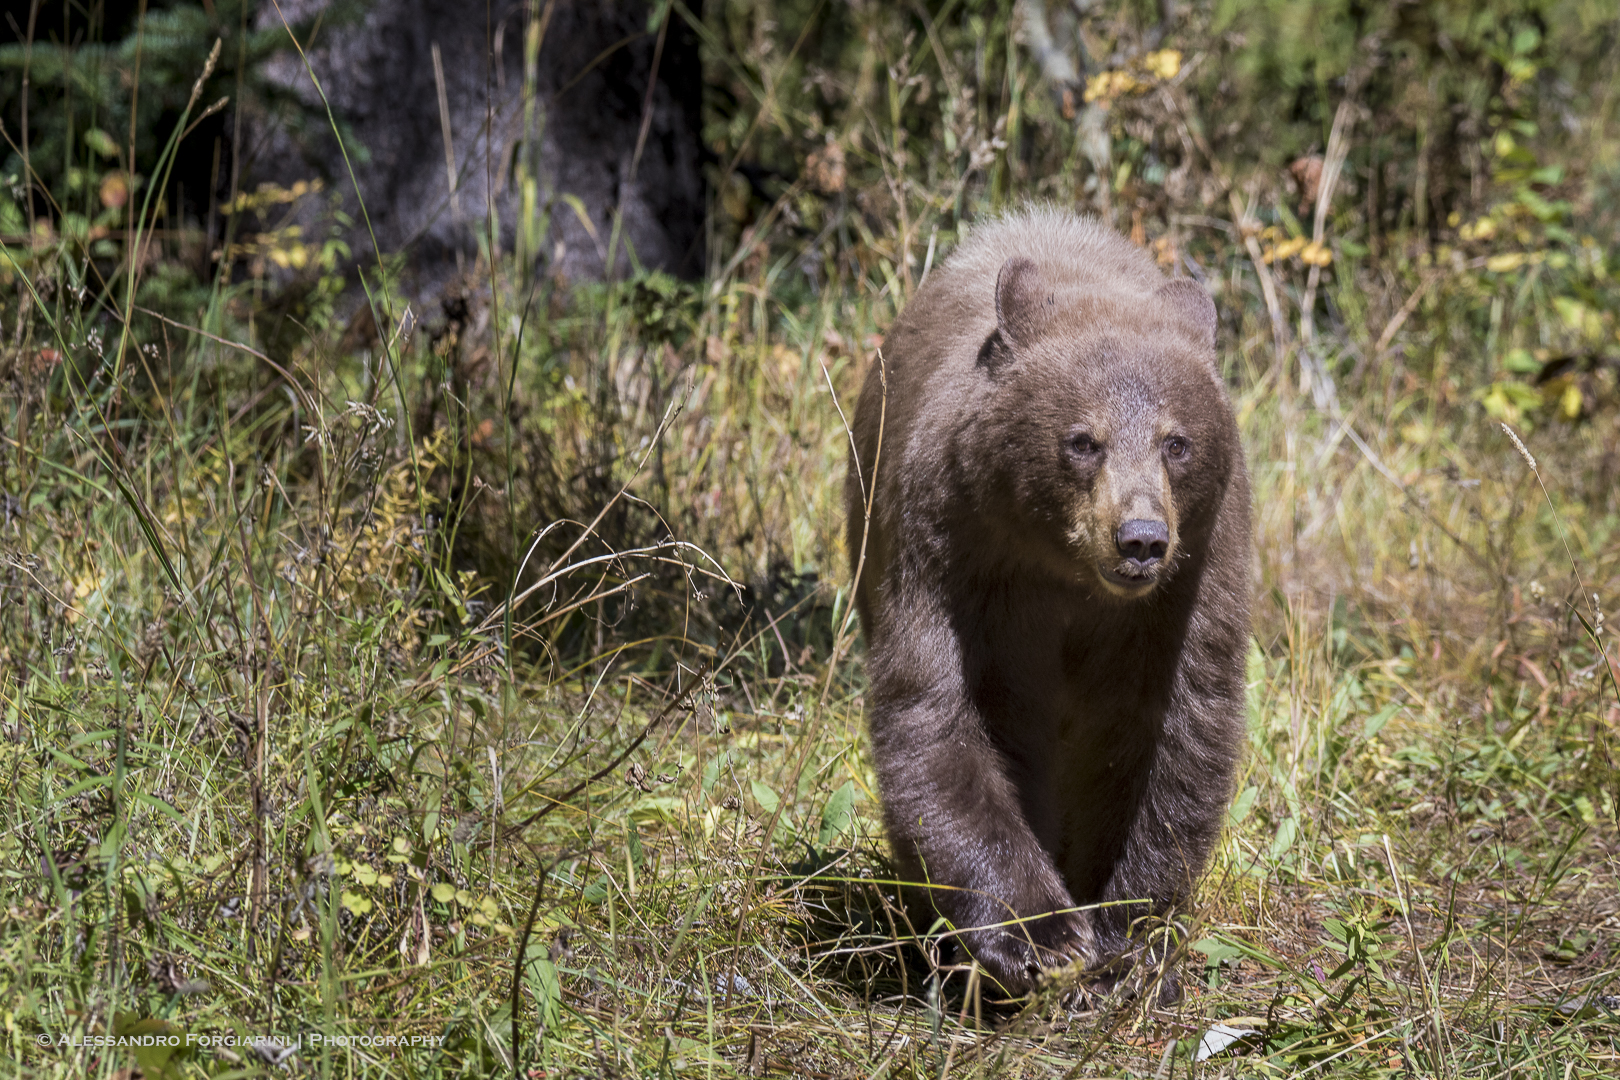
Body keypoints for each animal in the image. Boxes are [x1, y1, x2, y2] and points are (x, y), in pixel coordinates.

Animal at [845, 206, 1251, 1001]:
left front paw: (1126, 931)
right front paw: (1039, 936)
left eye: (1177, 441)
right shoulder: (954, 551)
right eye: (1083, 439)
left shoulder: (1187, 586)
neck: (1067, 574)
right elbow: (946, 713)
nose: (1141, 539)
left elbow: (1167, 732)